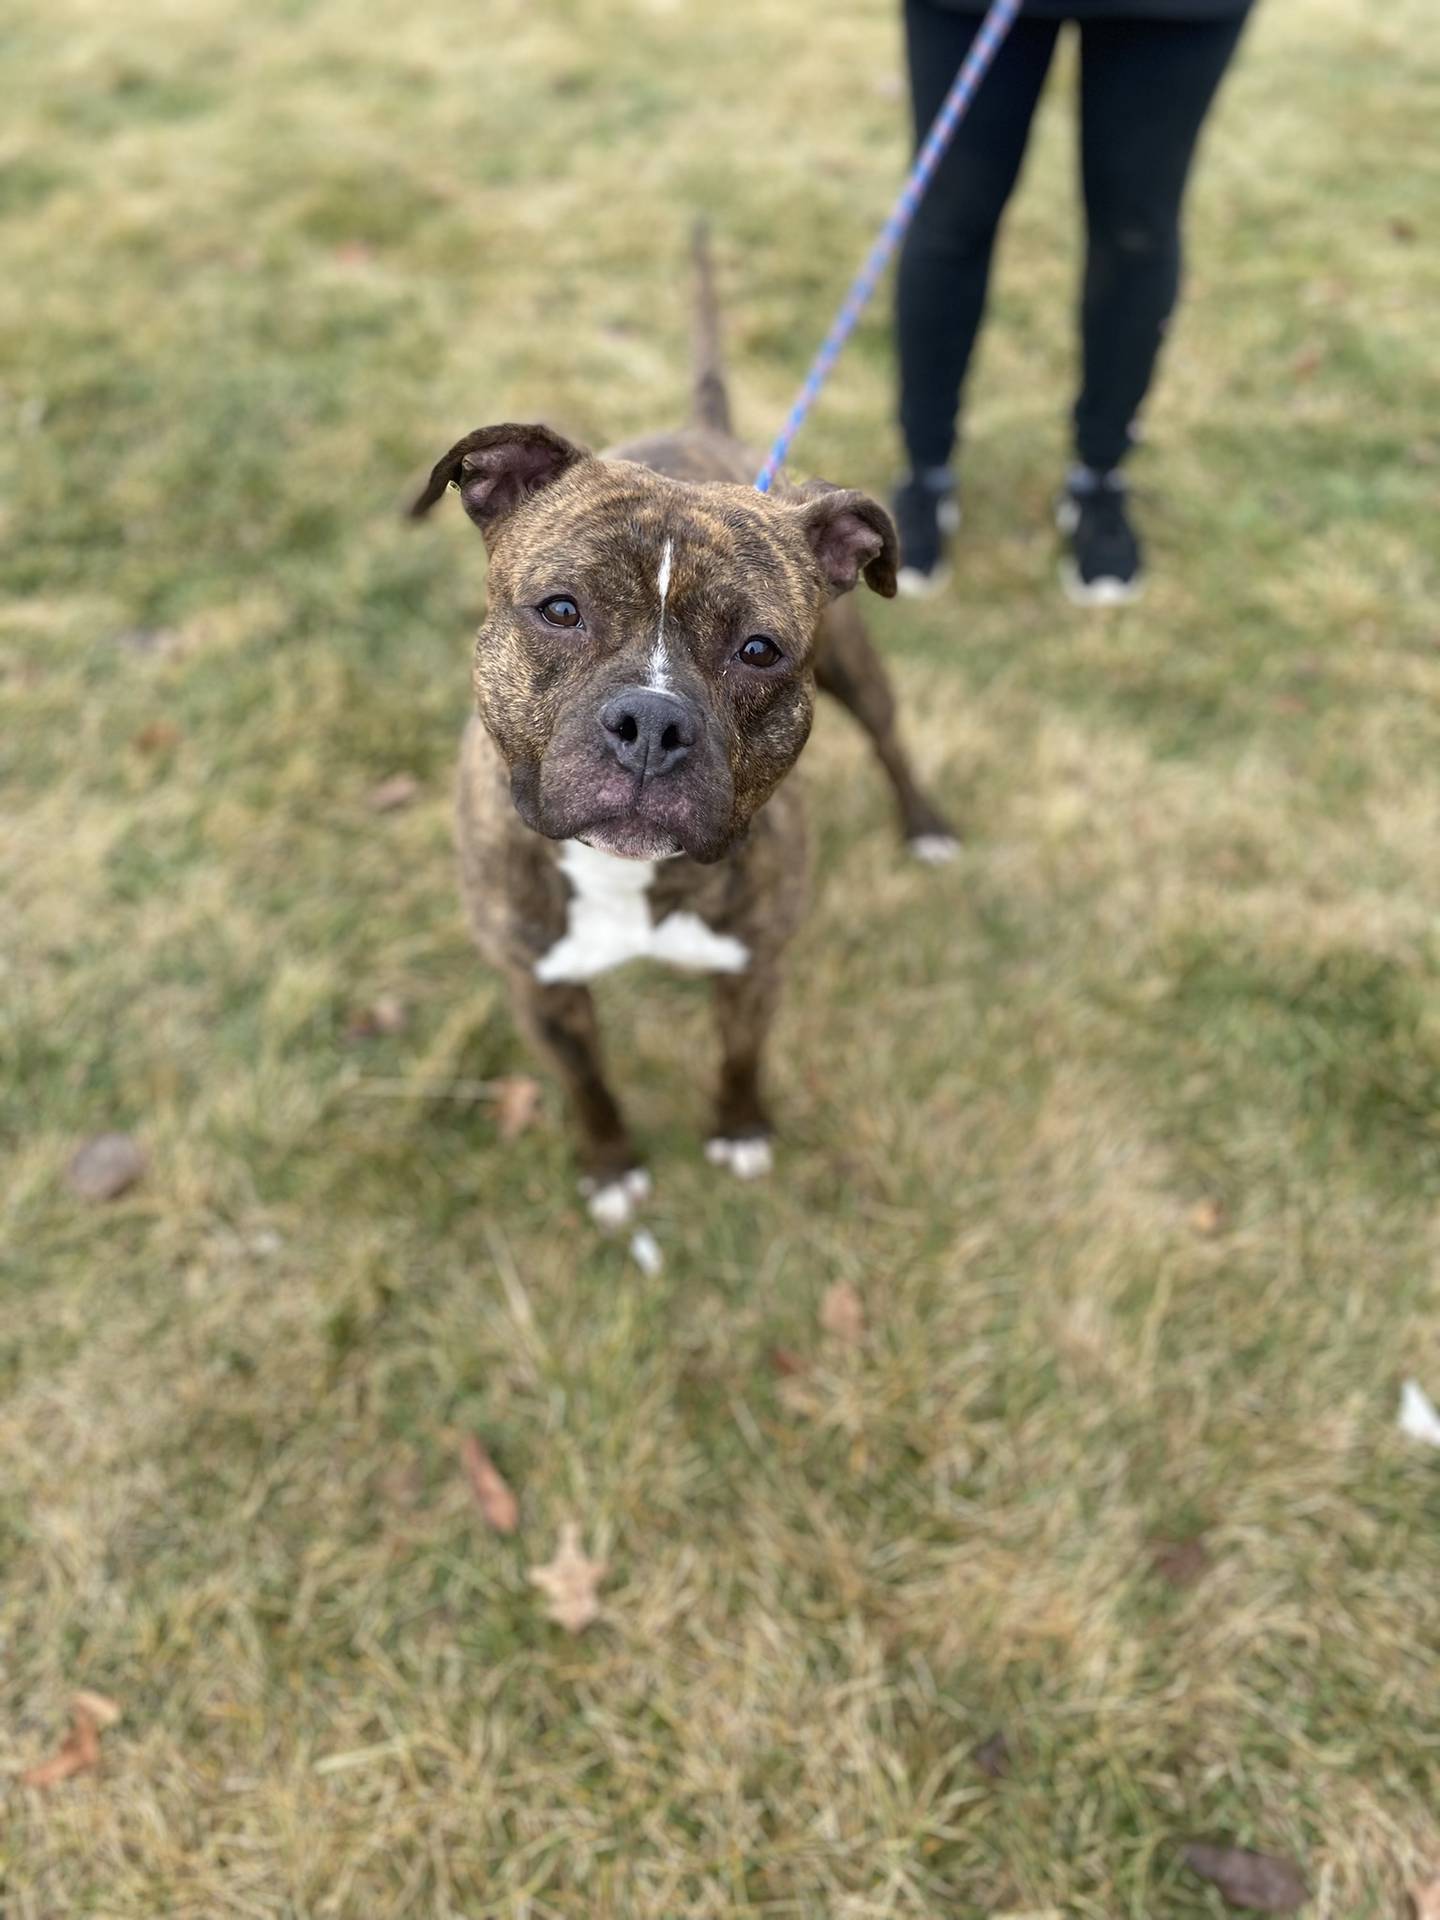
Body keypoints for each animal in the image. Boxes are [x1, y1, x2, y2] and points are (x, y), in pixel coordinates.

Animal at [414, 220, 960, 1213]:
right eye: (561, 609)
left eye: (760, 650)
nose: (652, 725)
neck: (625, 879)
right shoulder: (539, 988)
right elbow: (589, 1083)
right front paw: (611, 1168)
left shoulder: (756, 964)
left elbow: (741, 1058)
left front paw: (739, 1130)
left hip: (860, 671)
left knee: (892, 741)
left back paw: (927, 825)